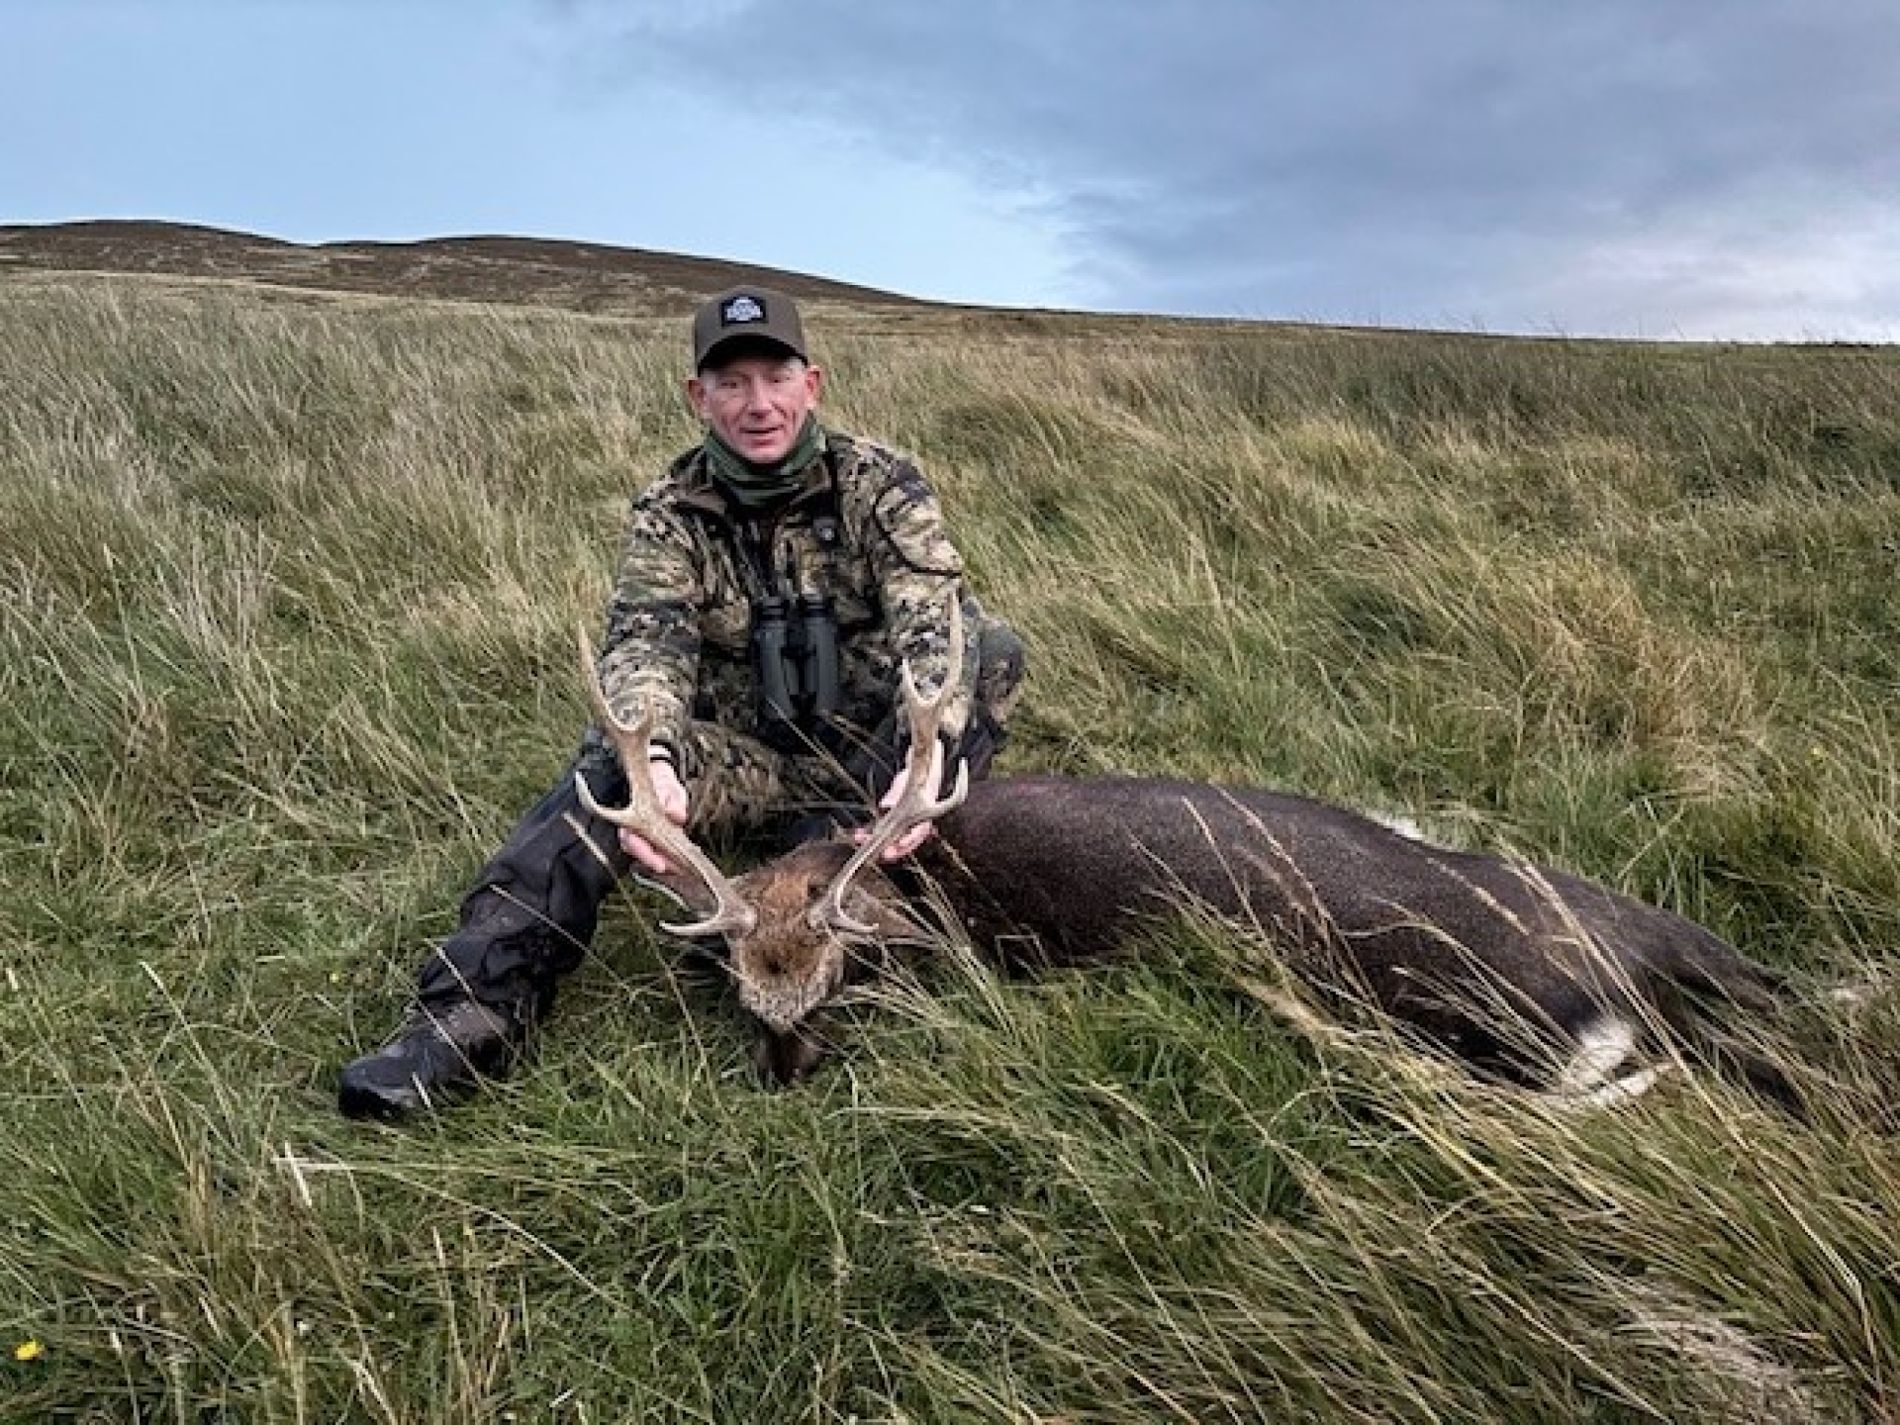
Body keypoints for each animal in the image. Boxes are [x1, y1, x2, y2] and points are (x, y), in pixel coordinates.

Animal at [574, 603, 1793, 1106]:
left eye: (843, 980)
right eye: (746, 997)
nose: (784, 1079)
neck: (926, 884)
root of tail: (1675, 950)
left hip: (1471, 1015)